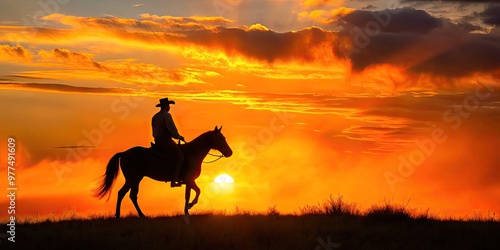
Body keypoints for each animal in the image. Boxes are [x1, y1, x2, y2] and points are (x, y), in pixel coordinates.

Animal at [94, 126, 232, 218]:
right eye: (221, 138)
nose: (230, 152)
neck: (193, 153)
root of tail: (124, 153)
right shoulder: (189, 180)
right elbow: (197, 192)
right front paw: (190, 206)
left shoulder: (188, 181)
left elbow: (188, 195)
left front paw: (186, 210)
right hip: (133, 179)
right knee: (125, 194)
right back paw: (128, 215)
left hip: (135, 179)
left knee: (129, 195)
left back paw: (135, 215)